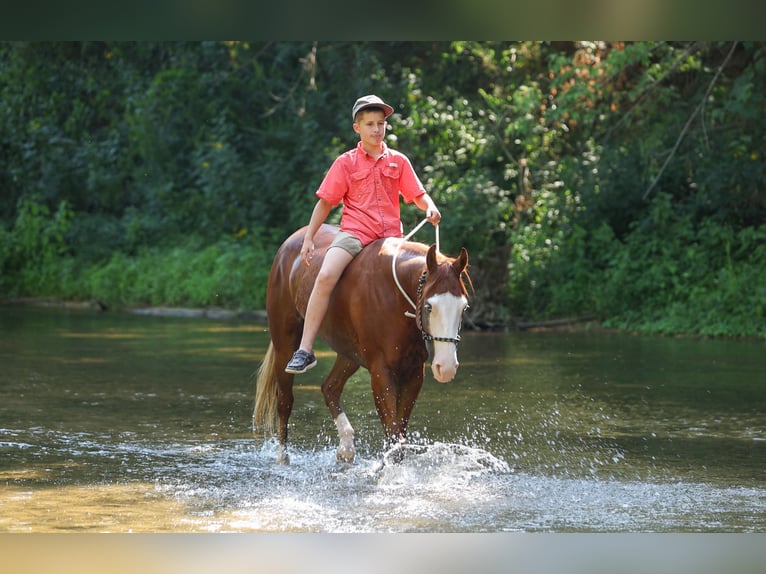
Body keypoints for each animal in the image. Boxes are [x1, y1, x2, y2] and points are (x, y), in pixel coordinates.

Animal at [253, 223, 470, 464]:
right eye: (430, 306)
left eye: (464, 307)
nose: (446, 367)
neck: (395, 295)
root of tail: (290, 243)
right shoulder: (381, 372)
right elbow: (394, 436)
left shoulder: (414, 373)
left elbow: (400, 436)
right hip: (285, 344)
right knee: (285, 401)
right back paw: (283, 458)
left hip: (349, 354)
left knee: (330, 388)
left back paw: (346, 447)